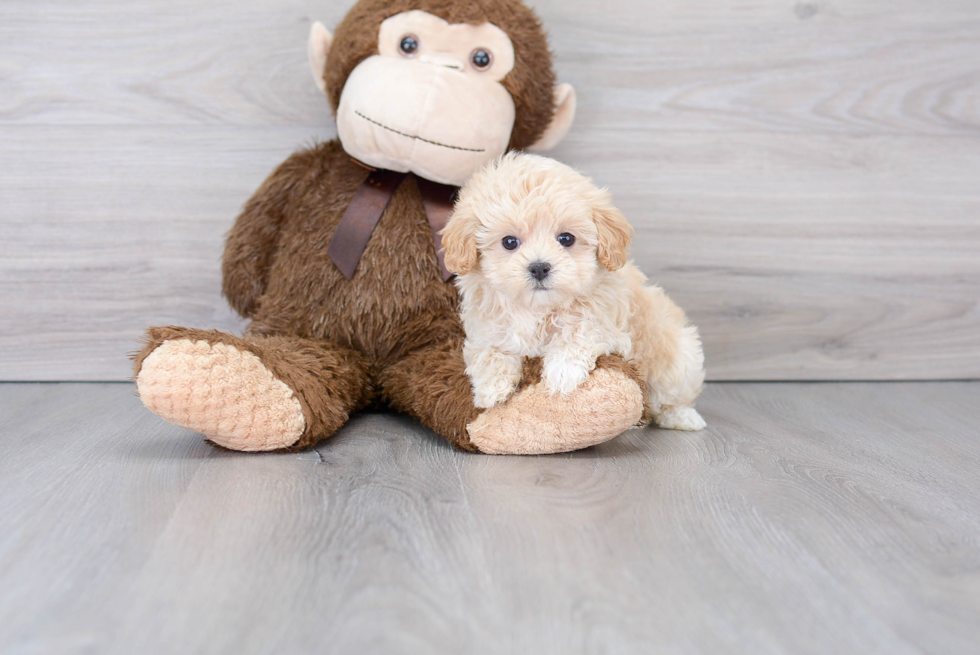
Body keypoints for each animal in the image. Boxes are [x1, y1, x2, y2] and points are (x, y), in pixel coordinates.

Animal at [442, 151, 704, 434]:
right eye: (509, 242)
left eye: (566, 239)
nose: (539, 267)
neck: (537, 308)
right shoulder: (485, 327)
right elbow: (487, 351)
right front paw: (491, 389)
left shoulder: (610, 323)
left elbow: (582, 330)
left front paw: (562, 373)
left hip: (678, 361)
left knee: (672, 398)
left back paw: (683, 418)